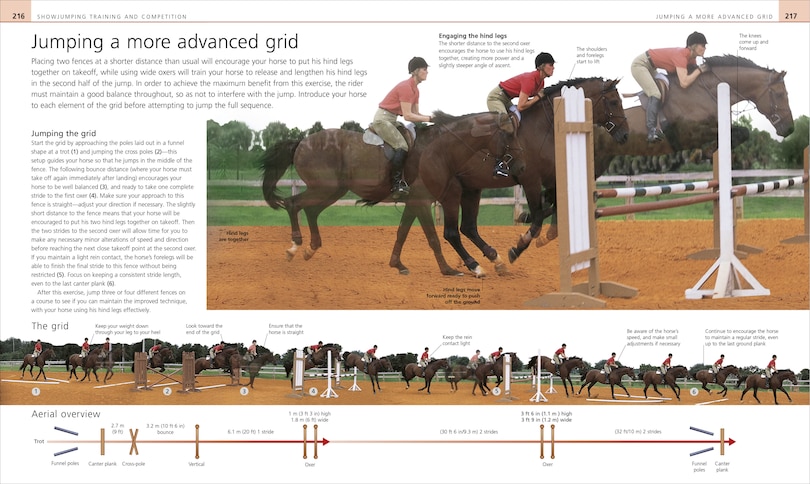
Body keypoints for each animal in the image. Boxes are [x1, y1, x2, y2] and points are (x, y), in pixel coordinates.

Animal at [417, 77, 628, 276]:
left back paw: (495, 261)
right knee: (451, 232)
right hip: (450, 193)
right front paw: (518, 247)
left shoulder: (551, 179)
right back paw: (474, 266)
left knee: (468, 228)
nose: (625, 135)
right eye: (614, 102)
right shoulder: (531, 180)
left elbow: (552, 209)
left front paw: (537, 228)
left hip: (471, 189)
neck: (546, 126)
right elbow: (538, 218)